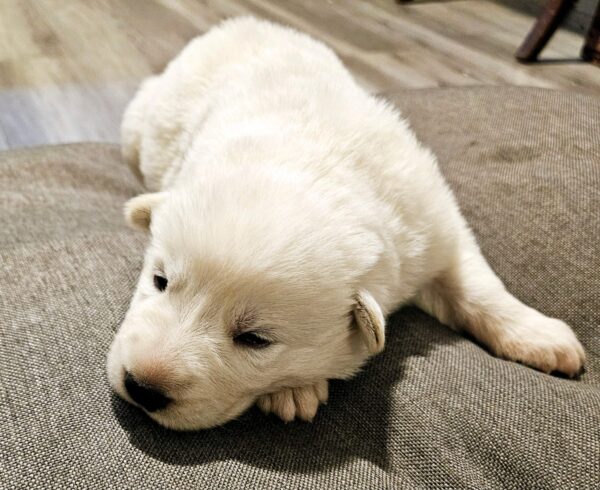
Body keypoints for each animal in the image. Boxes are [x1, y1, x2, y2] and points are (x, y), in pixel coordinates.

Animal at [105, 16, 584, 428]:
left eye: (255, 339)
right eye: (160, 281)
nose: (141, 386)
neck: (314, 166)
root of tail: (242, 23)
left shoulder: (436, 226)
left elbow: (481, 286)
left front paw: (544, 337)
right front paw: (295, 391)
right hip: (138, 123)